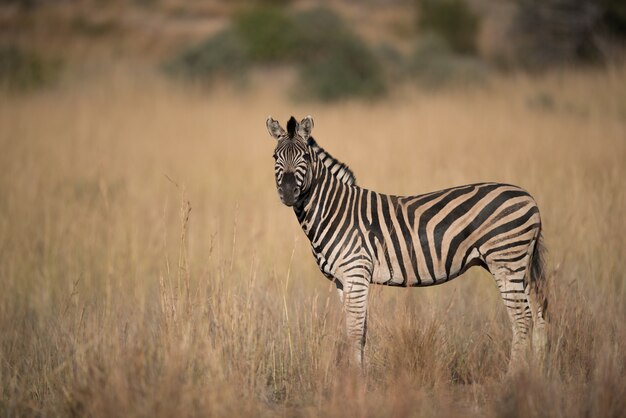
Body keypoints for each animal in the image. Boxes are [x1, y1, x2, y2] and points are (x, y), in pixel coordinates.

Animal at [264, 115, 544, 372]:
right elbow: (358, 332)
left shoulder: (356, 274)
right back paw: (537, 375)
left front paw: (356, 381)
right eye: (275, 157)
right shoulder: (343, 281)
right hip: (521, 266)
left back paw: (513, 378)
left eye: (304, 156)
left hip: (505, 260)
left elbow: (355, 332)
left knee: (522, 319)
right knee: (538, 313)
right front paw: (358, 377)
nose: (287, 193)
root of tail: (530, 199)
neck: (334, 210)